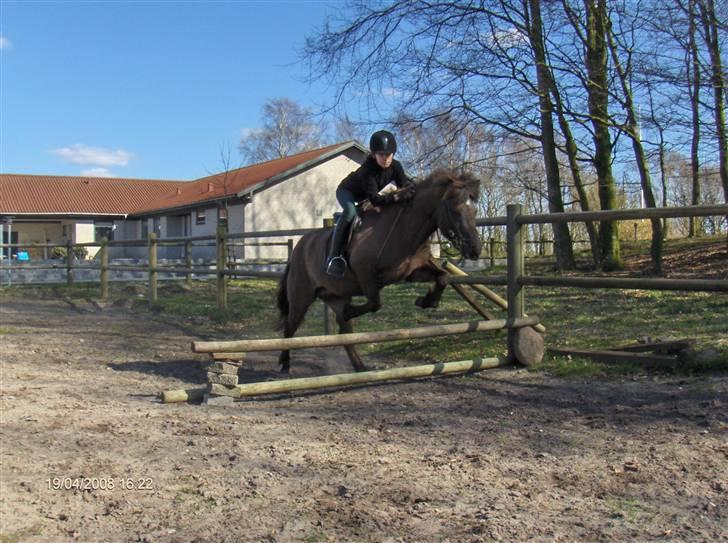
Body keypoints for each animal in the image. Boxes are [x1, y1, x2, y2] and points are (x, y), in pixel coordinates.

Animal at [276, 170, 480, 374]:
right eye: (455, 210)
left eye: (475, 211)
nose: (475, 249)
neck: (404, 229)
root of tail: (298, 248)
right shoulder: (364, 272)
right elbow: (375, 303)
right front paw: (351, 311)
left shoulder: (411, 272)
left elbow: (443, 277)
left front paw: (426, 301)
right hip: (301, 298)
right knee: (290, 327)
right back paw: (285, 365)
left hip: (336, 295)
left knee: (345, 333)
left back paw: (360, 367)